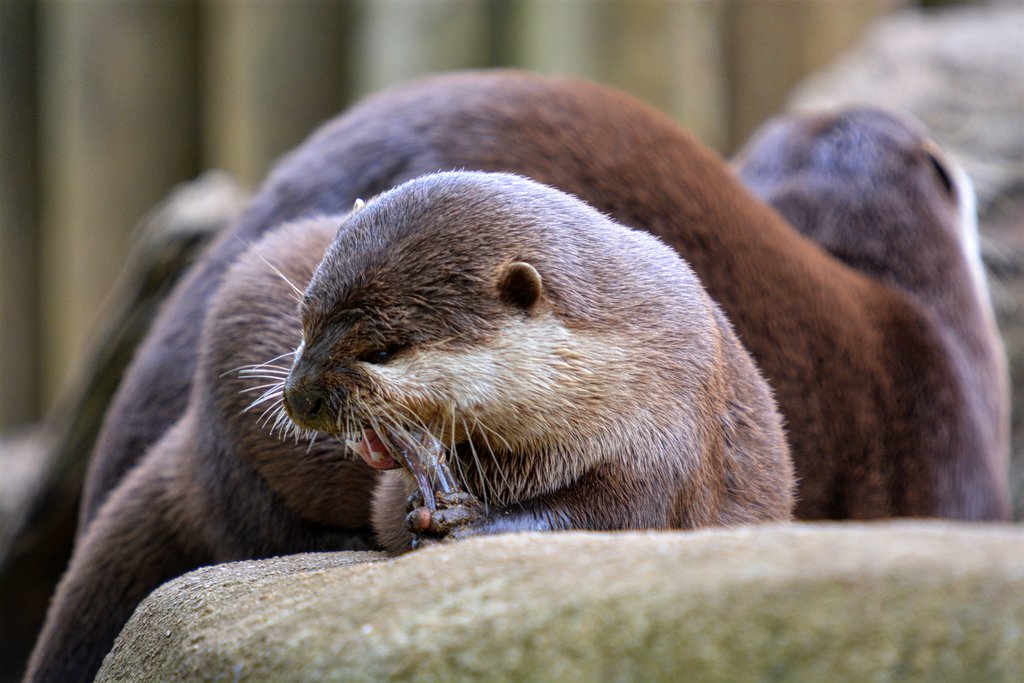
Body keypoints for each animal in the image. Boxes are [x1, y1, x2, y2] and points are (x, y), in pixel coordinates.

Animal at [26, 172, 794, 682]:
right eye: (306, 316)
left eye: (384, 349)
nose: (300, 396)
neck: (624, 369)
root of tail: (186, 439)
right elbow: (394, 510)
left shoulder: (674, 431)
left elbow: (614, 513)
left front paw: (470, 522)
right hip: (226, 434)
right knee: (244, 523)